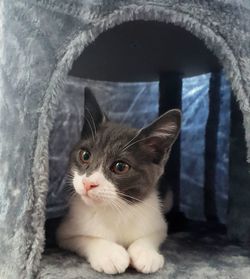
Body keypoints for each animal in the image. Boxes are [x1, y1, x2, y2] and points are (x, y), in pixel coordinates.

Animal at [56, 88, 181, 276]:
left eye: (120, 167)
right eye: (85, 155)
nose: (88, 183)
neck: (116, 208)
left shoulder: (158, 221)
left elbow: (154, 234)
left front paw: (146, 253)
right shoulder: (64, 232)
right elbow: (84, 237)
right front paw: (109, 254)